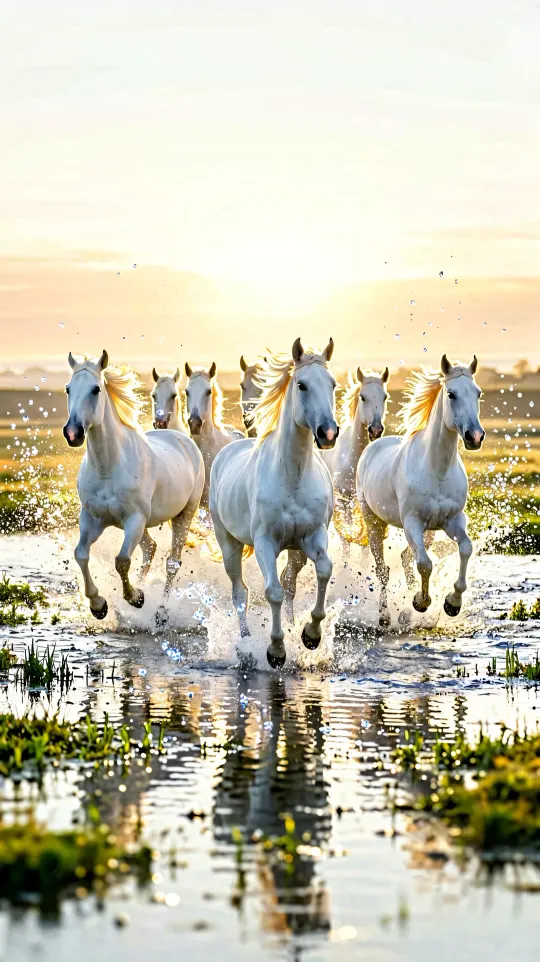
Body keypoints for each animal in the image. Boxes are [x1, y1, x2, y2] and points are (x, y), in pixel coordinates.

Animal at [63, 351, 205, 618]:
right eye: (68, 388)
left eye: (96, 389)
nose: (73, 433)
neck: (108, 467)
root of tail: (183, 439)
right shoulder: (92, 518)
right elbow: (80, 554)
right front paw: (98, 605)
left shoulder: (134, 519)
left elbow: (121, 561)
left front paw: (135, 598)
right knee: (149, 548)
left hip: (184, 515)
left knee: (172, 562)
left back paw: (161, 612)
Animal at [210, 337, 338, 669]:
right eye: (302, 385)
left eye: (332, 383)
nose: (328, 432)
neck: (292, 476)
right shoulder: (265, 542)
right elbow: (273, 592)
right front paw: (276, 650)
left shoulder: (313, 537)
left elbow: (323, 570)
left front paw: (310, 635)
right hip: (228, 544)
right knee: (240, 593)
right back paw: (245, 644)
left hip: (296, 551)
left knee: (289, 582)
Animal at [356, 354, 484, 627]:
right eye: (451, 394)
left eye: (477, 393)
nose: (475, 436)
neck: (436, 469)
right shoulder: (412, 523)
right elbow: (425, 564)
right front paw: (420, 602)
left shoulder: (453, 520)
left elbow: (466, 548)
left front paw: (452, 603)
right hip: (374, 522)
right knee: (382, 569)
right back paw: (385, 616)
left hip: (430, 531)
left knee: (406, 558)